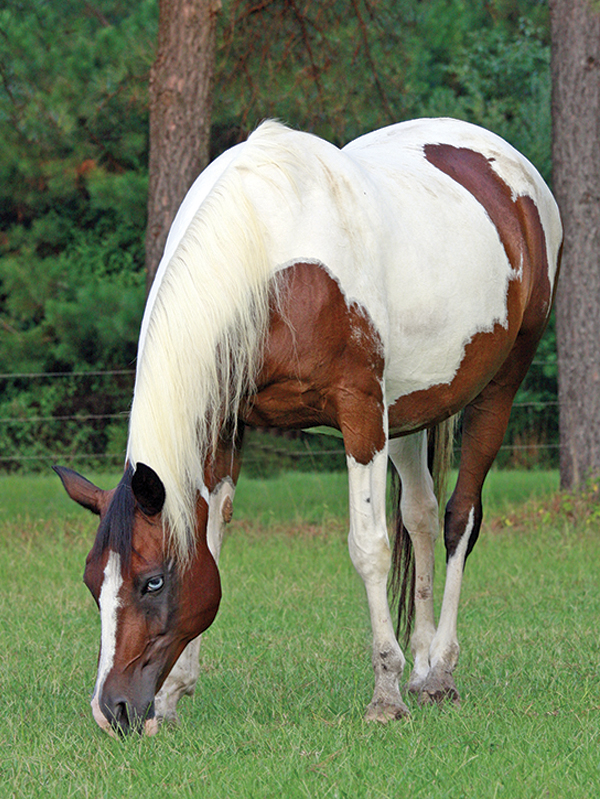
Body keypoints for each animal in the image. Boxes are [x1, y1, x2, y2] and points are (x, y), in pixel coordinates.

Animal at [55, 117, 562, 735]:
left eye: (152, 581)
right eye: (91, 581)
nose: (113, 711)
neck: (269, 253)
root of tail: (514, 169)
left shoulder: (360, 415)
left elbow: (368, 547)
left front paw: (385, 692)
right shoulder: (227, 424)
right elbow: (211, 538)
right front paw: (173, 697)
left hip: (497, 388)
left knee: (458, 520)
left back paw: (439, 670)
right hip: (410, 410)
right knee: (418, 517)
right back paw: (422, 668)